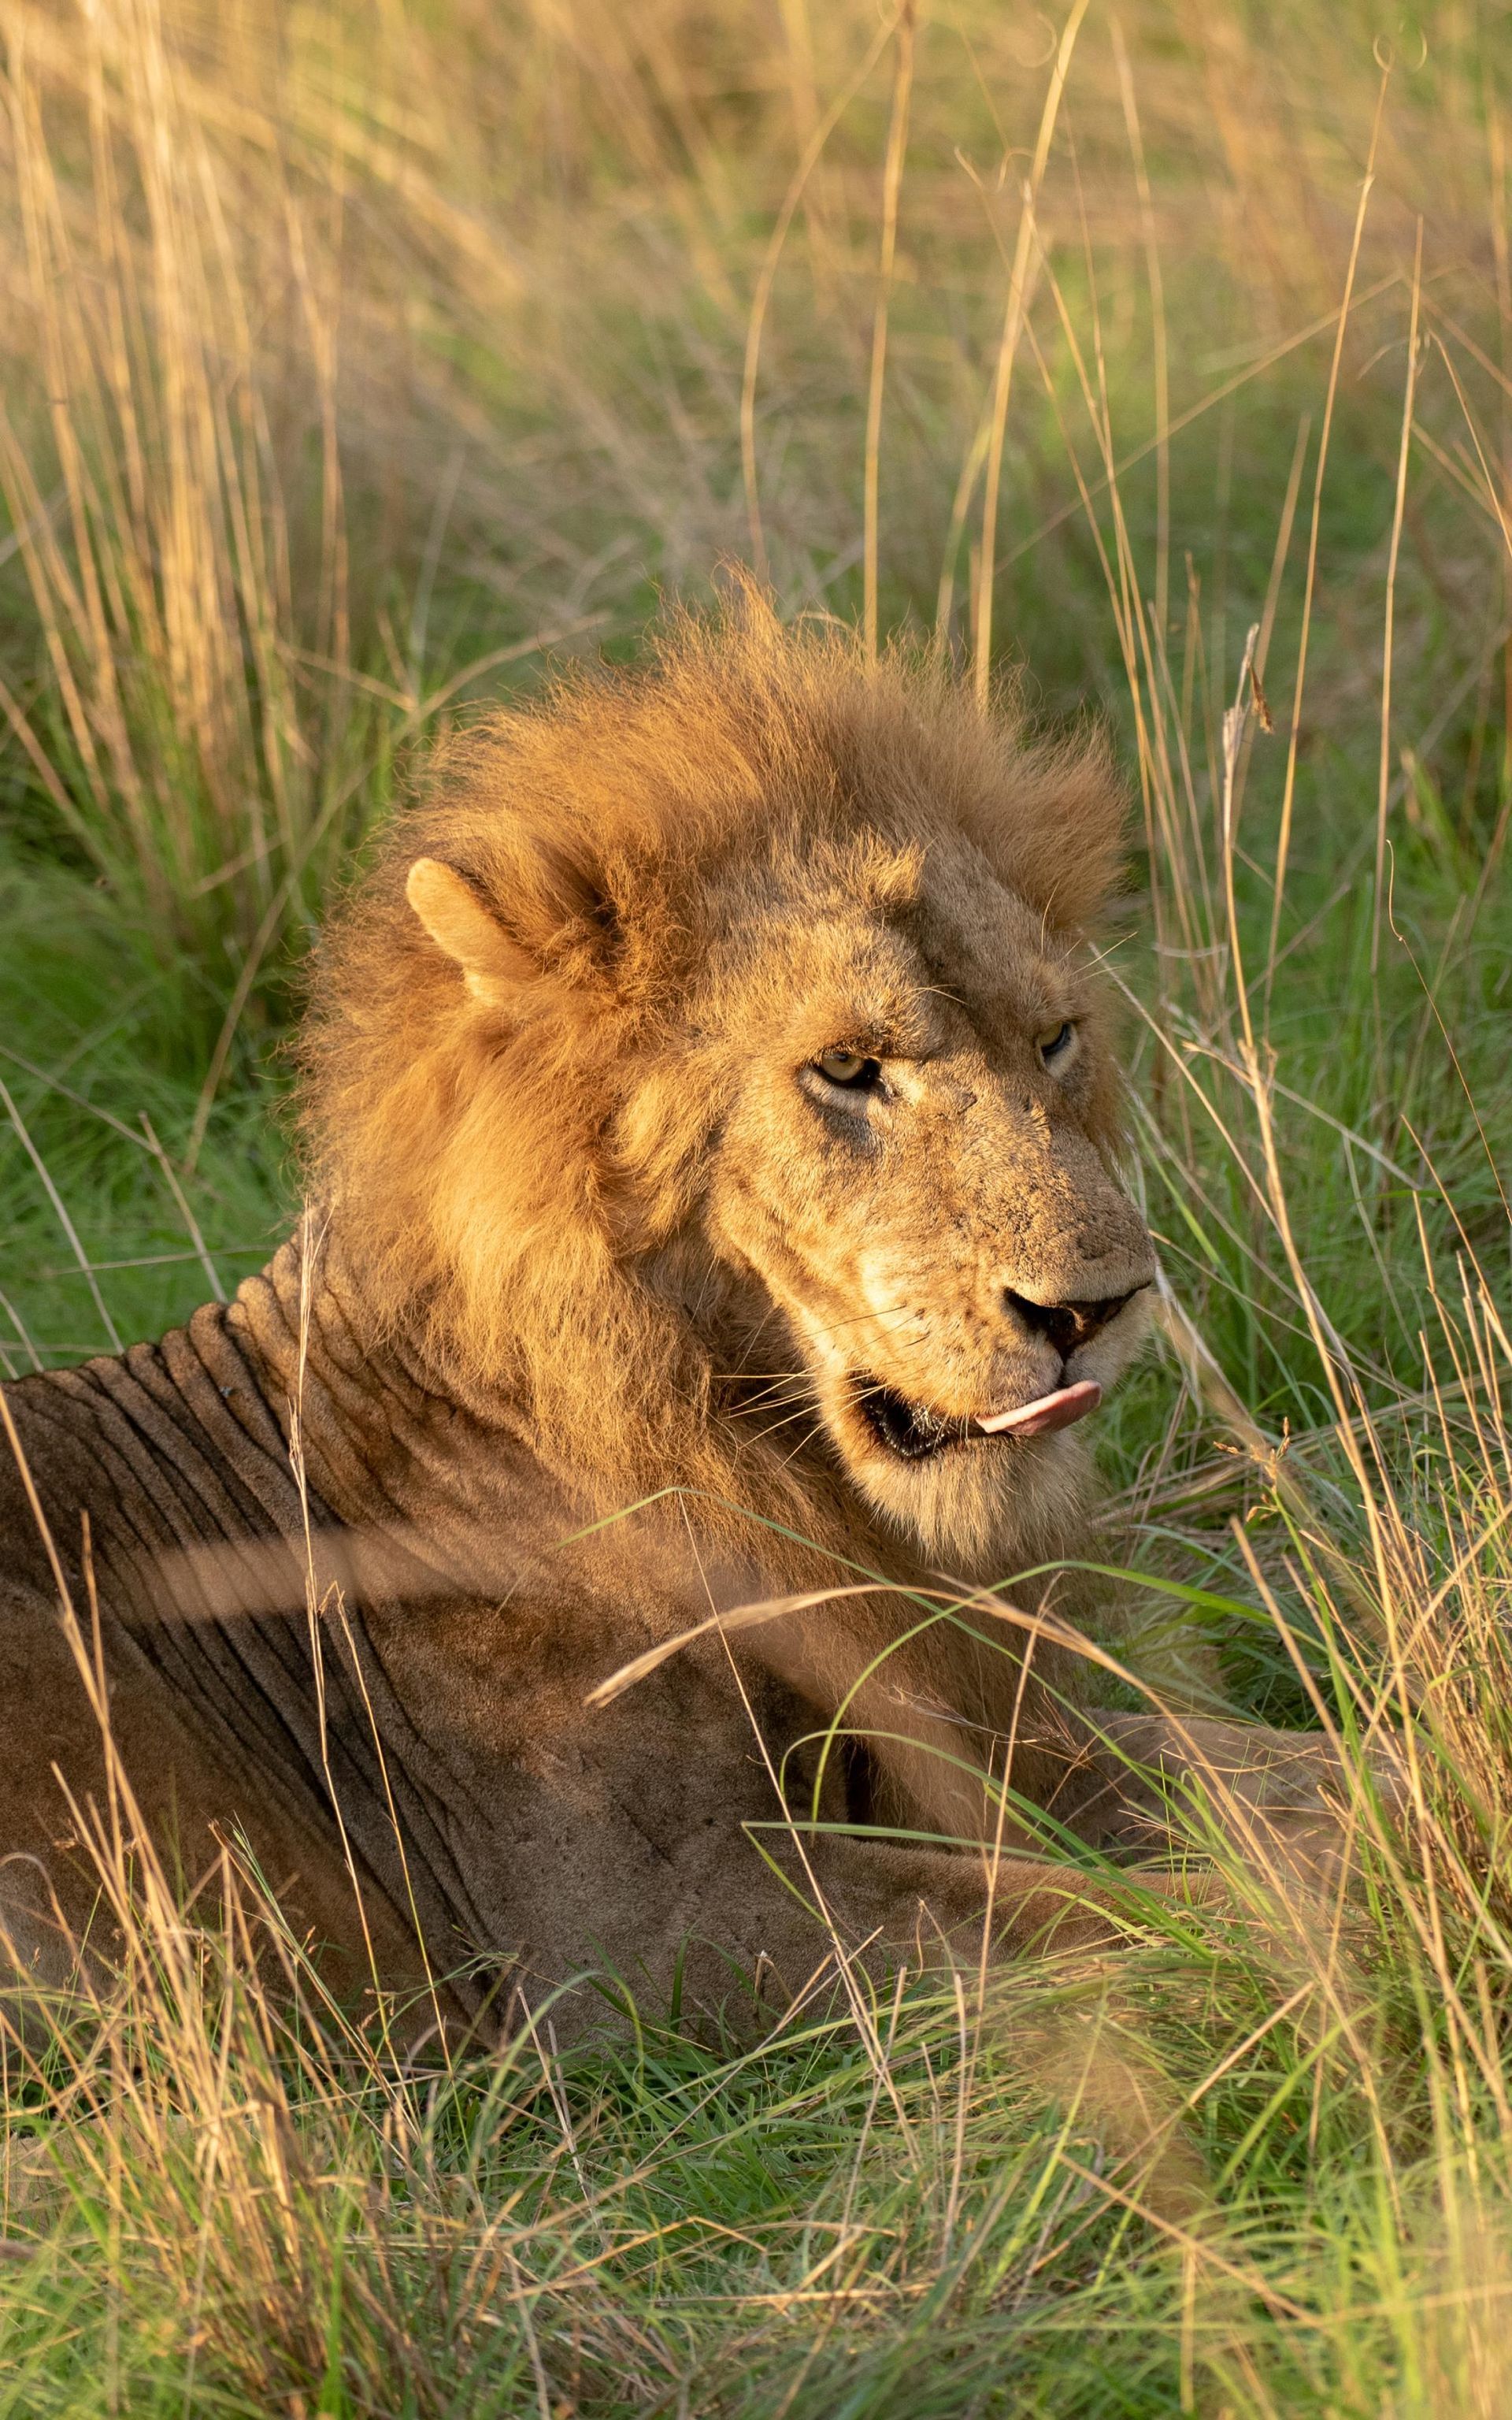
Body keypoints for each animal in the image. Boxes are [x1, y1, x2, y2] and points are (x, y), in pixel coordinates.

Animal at [0, 594, 1357, 2032]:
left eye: (1053, 1039)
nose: (1096, 1307)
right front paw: (1342, 1912)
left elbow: (1276, 1770)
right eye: (847, 1067)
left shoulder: (968, 1721)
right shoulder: (621, 1931)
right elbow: (1118, 1918)